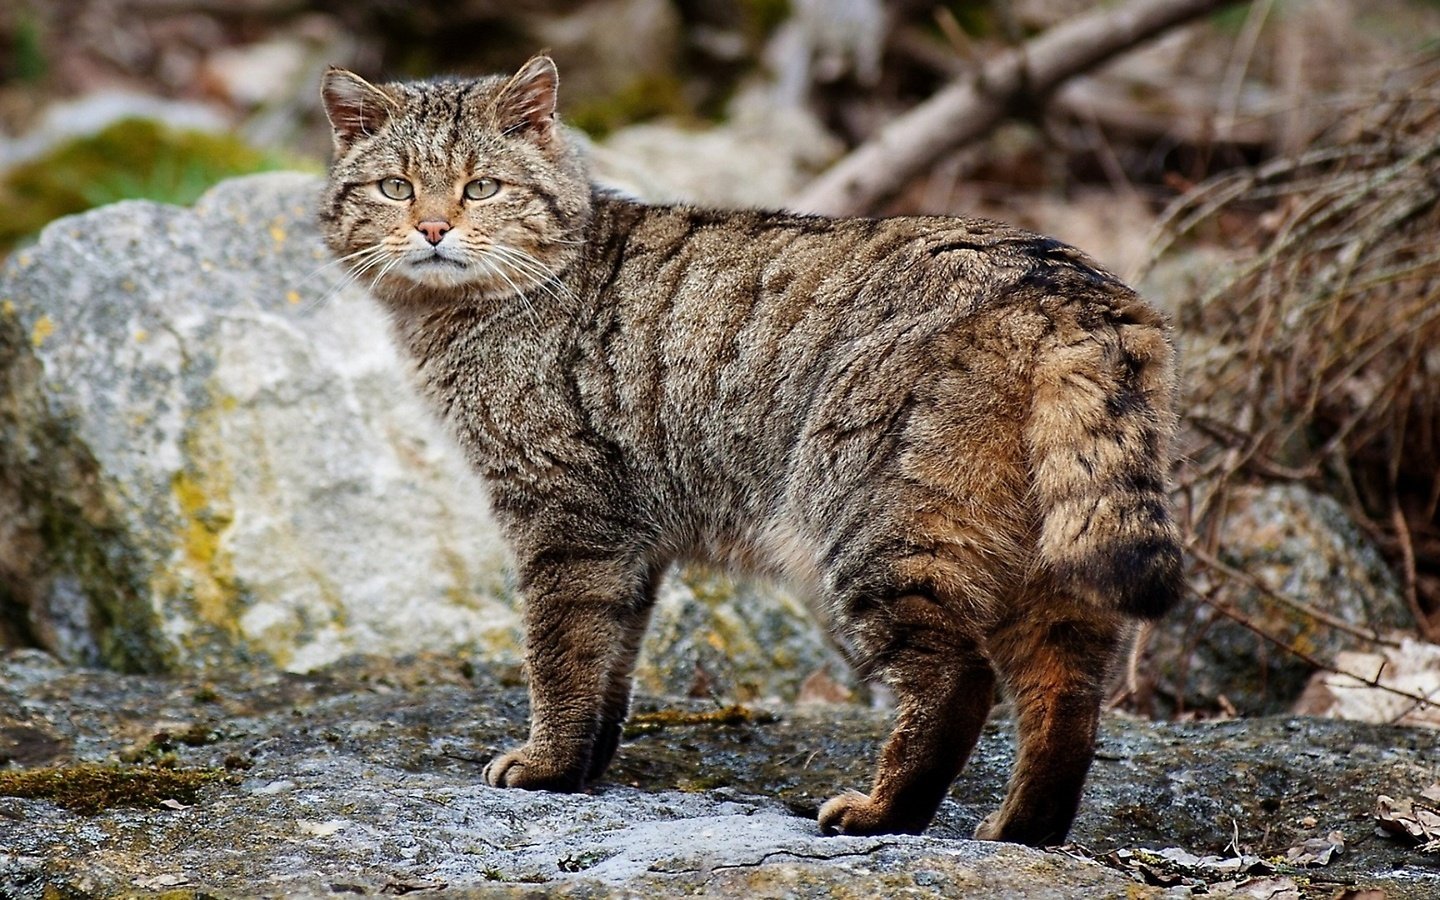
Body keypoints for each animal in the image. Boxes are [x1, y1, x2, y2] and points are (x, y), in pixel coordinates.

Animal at [318, 54, 1180, 840]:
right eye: (396, 187)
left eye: (481, 187)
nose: (433, 228)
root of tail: (1068, 289)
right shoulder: (632, 538)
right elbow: (612, 659)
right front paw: (586, 764)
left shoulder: (566, 518)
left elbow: (562, 650)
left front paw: (547, 764)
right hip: (1048, 560)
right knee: (1067, 696)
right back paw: (1021, 830)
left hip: (875, 525)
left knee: (957, 680)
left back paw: (882, 813)